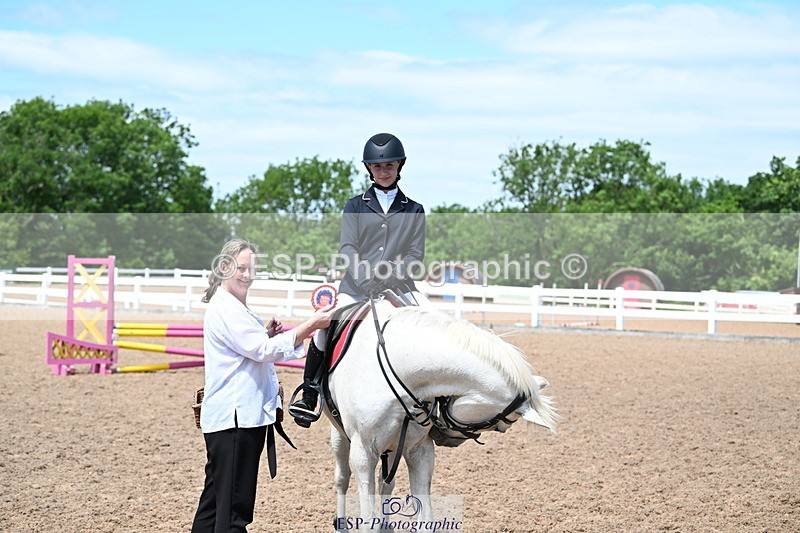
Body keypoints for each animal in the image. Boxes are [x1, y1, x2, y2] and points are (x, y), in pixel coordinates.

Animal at [322, 299, 557, 528]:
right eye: (498, 425)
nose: (446, 438)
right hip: (341, 437)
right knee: (342, 478)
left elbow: (425, 517)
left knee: (386, 483)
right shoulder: (363, 452)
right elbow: (366, 516)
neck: (402, 368)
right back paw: (341, 522)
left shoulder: (418, 450)